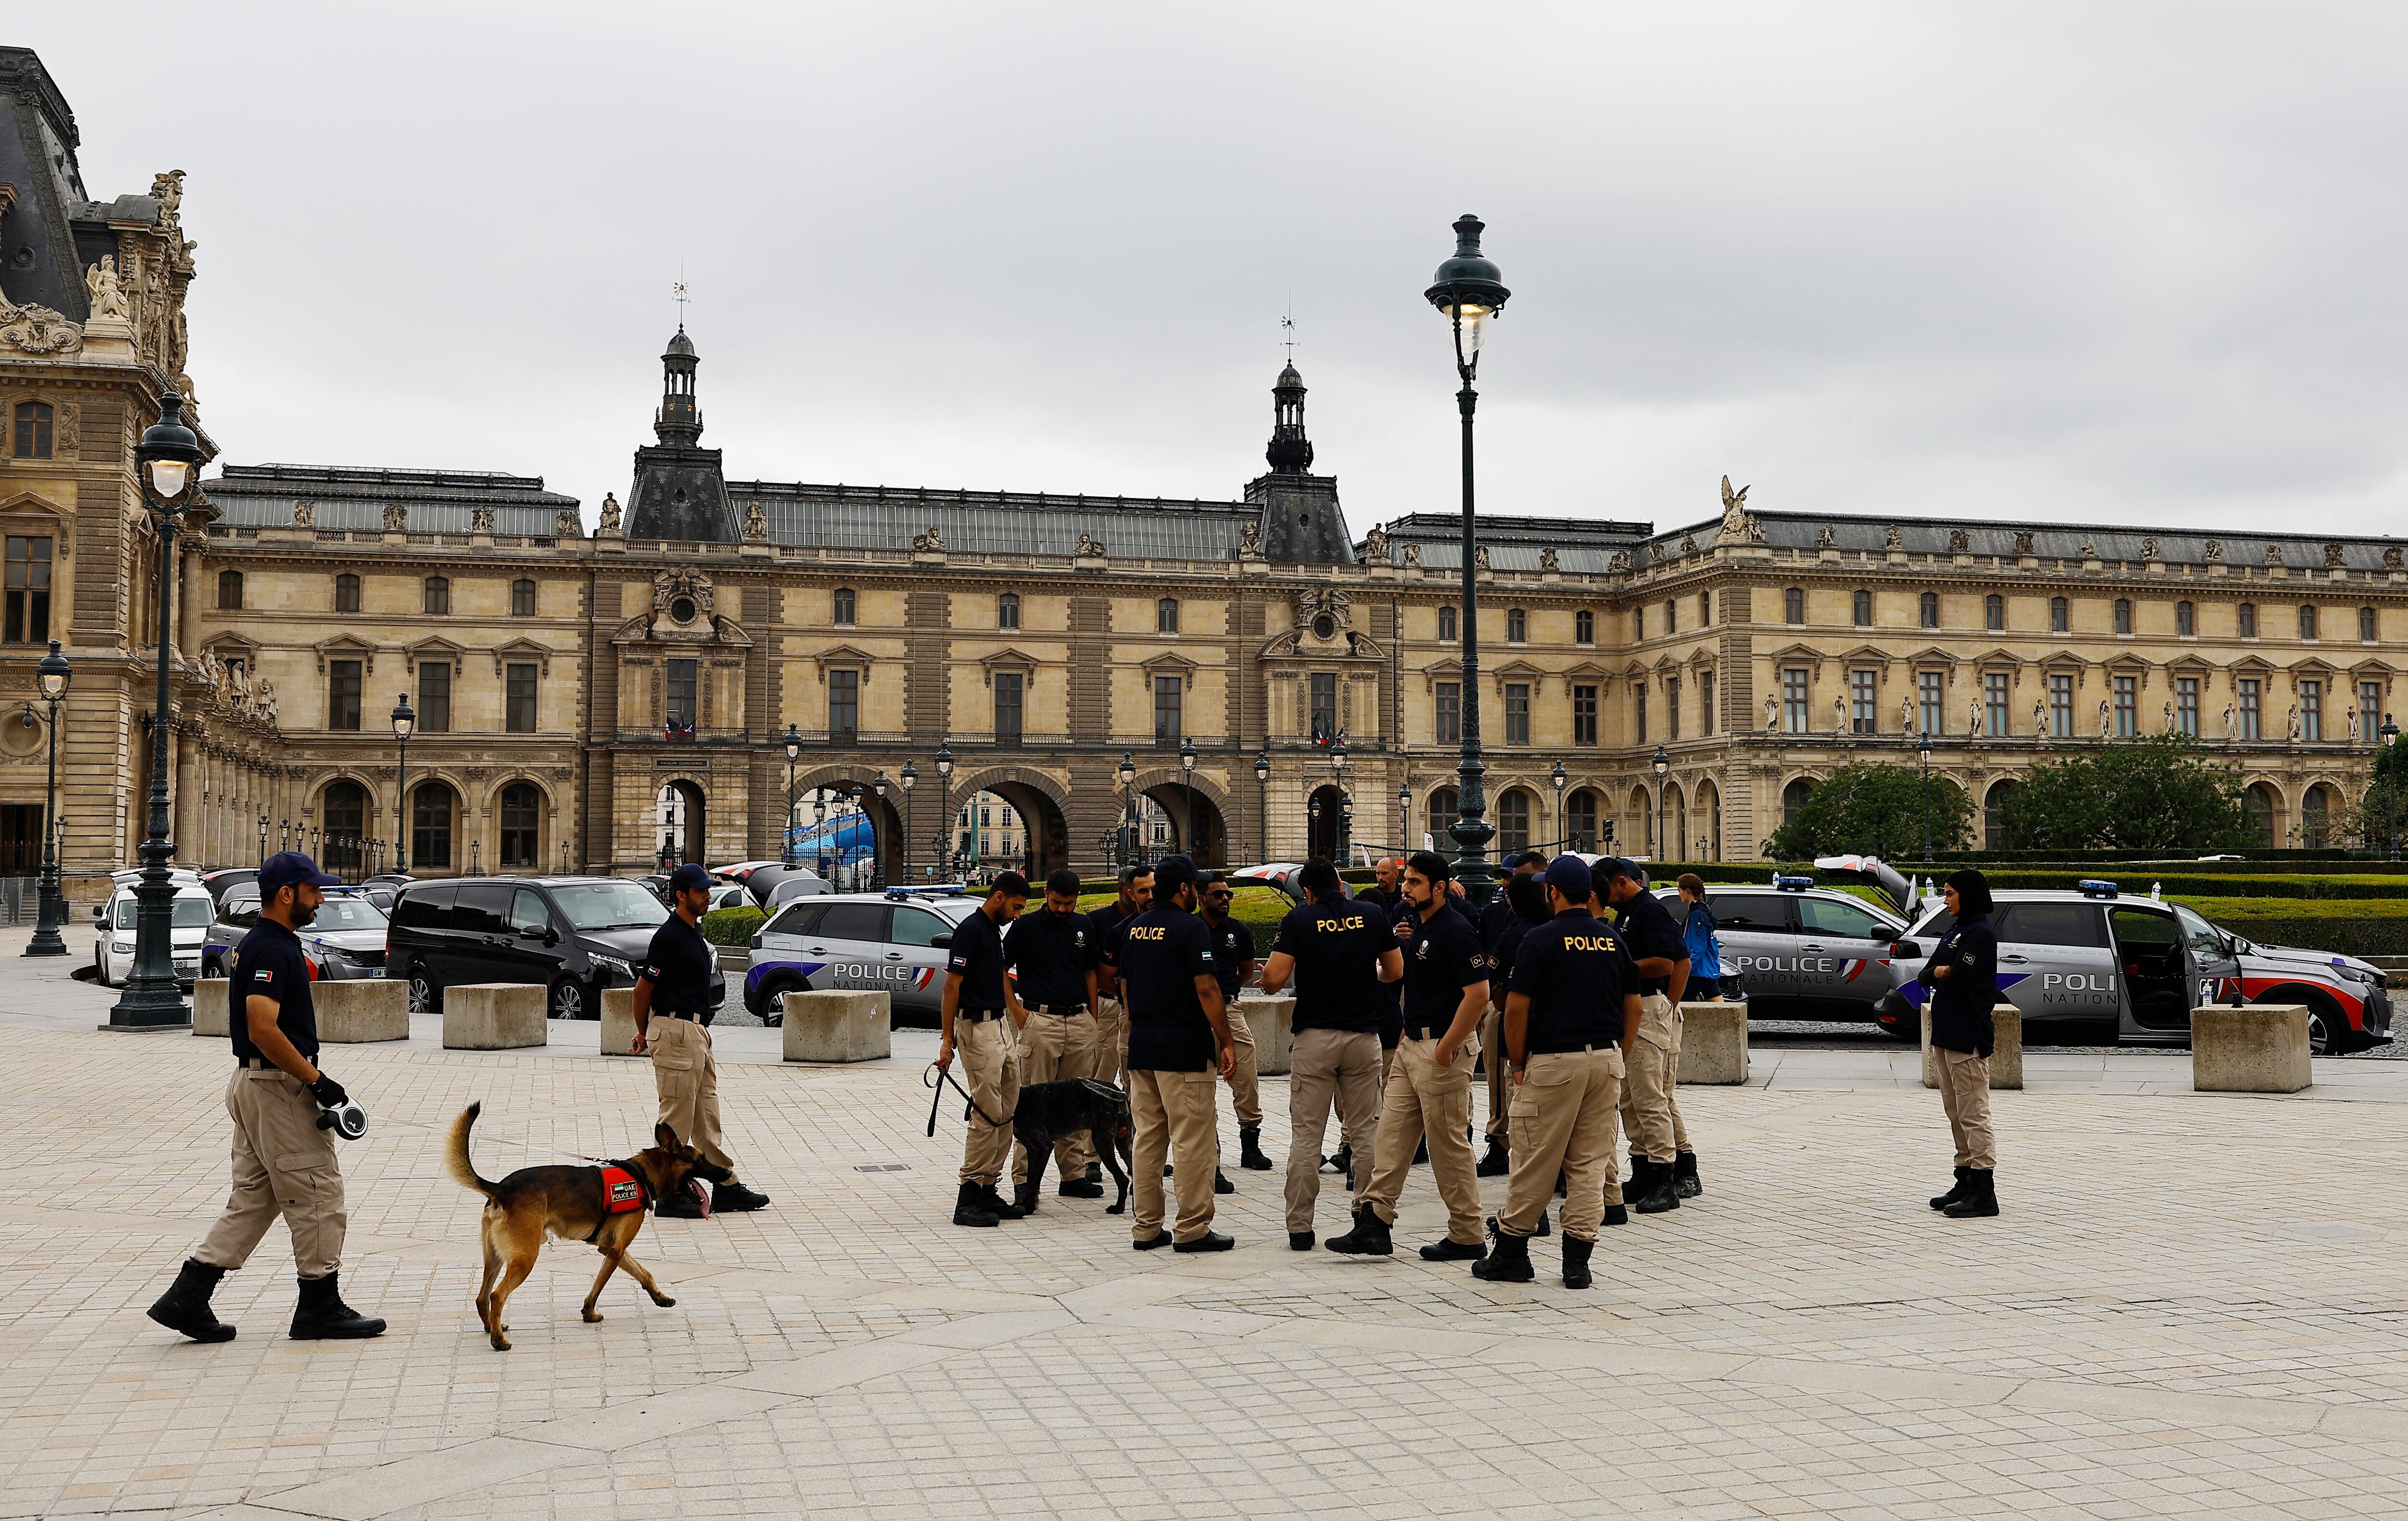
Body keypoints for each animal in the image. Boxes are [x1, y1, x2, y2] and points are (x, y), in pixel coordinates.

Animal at [443, 1097, 722, 1348]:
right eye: (701, 1159)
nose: (728, 1171)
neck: (641, 1174)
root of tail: (502, 1189)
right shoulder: (615, 1251)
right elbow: (599, 1285)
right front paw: (590, 1313)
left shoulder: (610, 1248)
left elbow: (644, 1272)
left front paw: (660, 1298)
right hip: (524, 1258)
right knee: (496, 1295)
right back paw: (499, 1340)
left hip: (495, 1259)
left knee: (482, 1297)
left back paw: (492, 1327)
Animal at [1007, 1073, 1137, 1218]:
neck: (1020, 1101)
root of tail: (1119, 1092)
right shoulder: (1031, 1149)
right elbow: (1030, 1180)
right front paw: (1023, 1204)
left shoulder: (1043, 1147)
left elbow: (1034, 1182)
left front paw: (1029, 1208)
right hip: (1124, 1145)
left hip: (1102, 1142)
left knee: (1123, 1180)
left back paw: (1118, 1208)